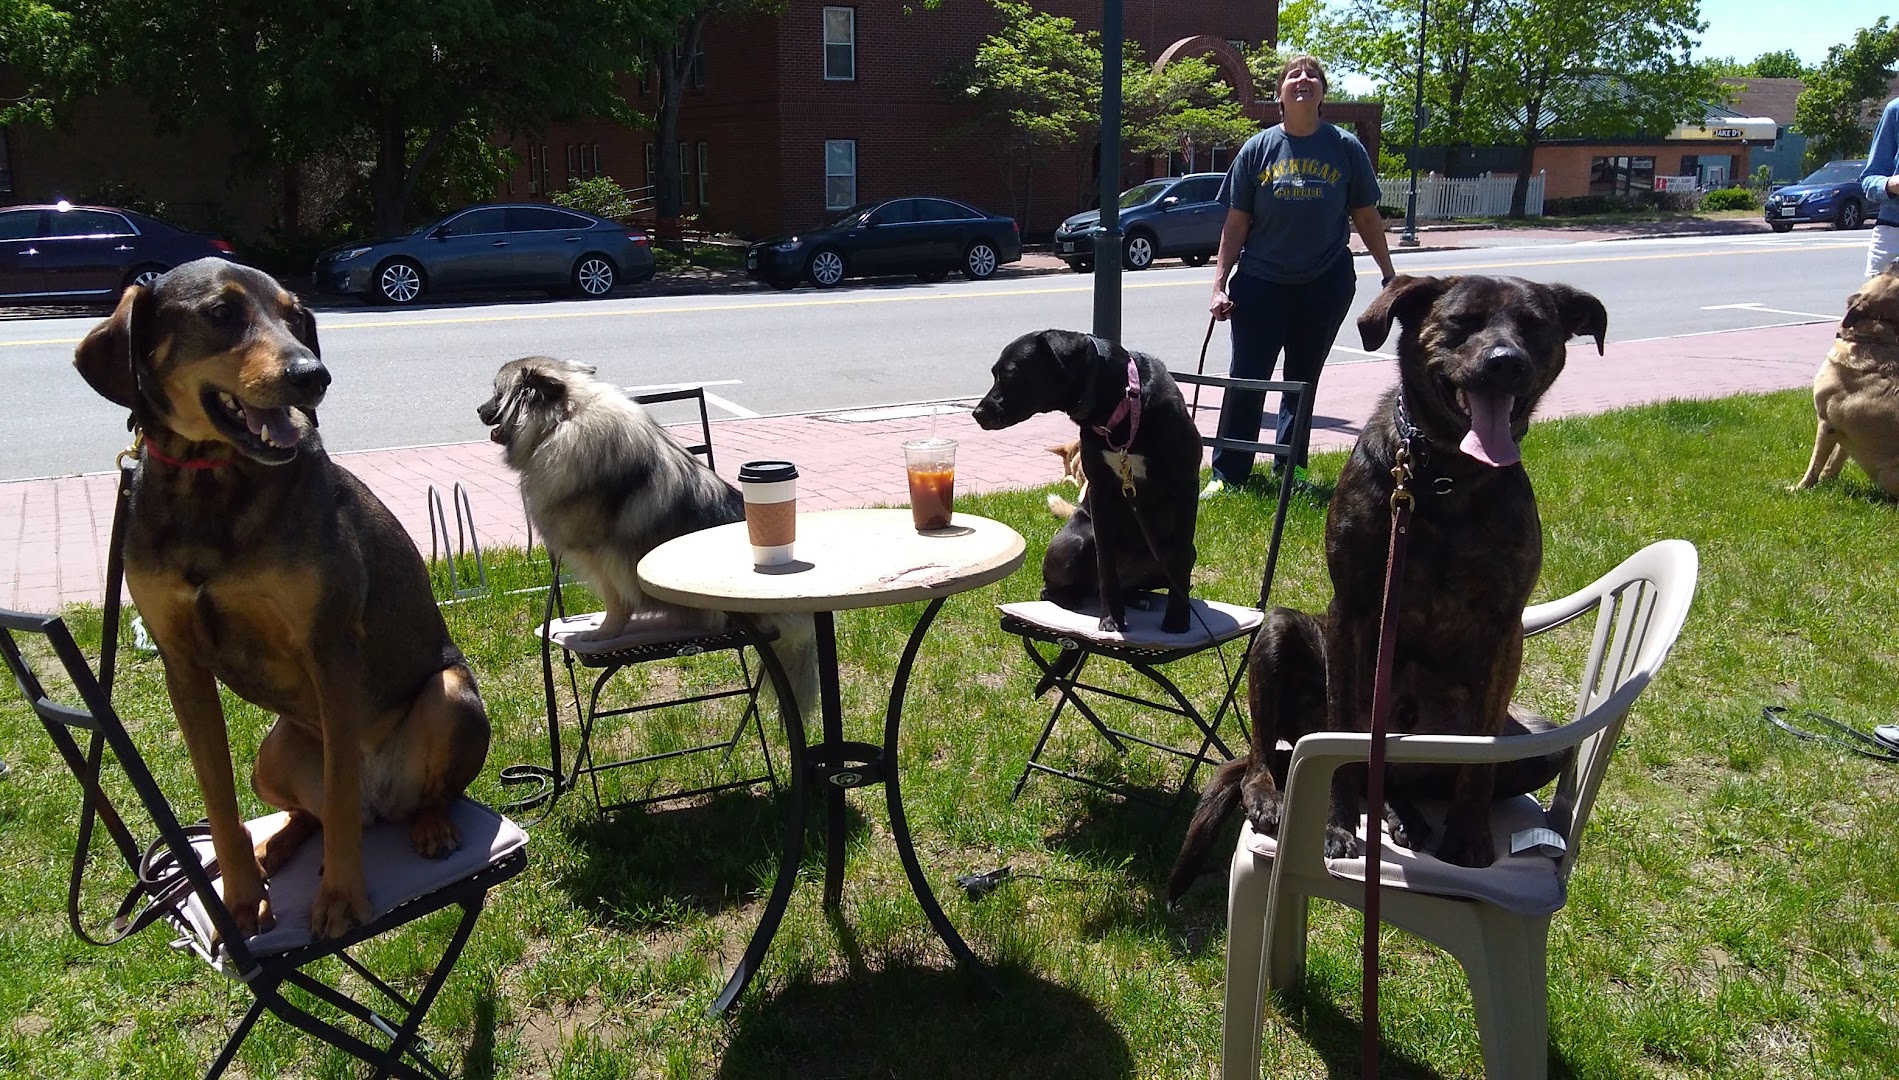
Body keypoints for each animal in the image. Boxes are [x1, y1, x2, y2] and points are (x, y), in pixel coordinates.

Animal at [474, 353, 816, 702]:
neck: (564, 419)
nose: (478, 410)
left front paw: (604, 632)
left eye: (496, 393)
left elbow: (616, 602)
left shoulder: (604, 557)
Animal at [972, 326, 1192, 630]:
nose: (977, 413)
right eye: (994, 372)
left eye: (1010, 373)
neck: (1120, 404)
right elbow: (1105, 565)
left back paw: (1138, 597)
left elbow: (1180, 564)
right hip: (1074, 541)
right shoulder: (1100, 493)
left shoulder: (1185, 484)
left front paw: (1178, 619)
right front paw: (1111, 618)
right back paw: (1073, 598)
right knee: (1053, 589)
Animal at [1162, 273, 1610, 895]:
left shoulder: (1504, 625)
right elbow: (1346, 727)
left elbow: (1478, 756)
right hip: (1279, 633)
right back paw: (1276, 794)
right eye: (1463, 322)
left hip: (1538, 746)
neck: (1445, 478)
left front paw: (1467, 836)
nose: (1507, 362)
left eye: (1535, 326)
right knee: (1265, 753)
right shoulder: (1351, 610)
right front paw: (1335, 825)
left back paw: (1406, 814)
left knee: (1413, 776)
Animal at [1785, 263, 1899, 493]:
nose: (1895, 261)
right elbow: (1836, 458)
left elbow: (1815, 463)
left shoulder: (1826, 423)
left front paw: (1800, 488)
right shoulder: (1842, 429)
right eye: (1889, 272)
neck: (1873, 337)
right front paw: (1828, 480)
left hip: (1887, 475)